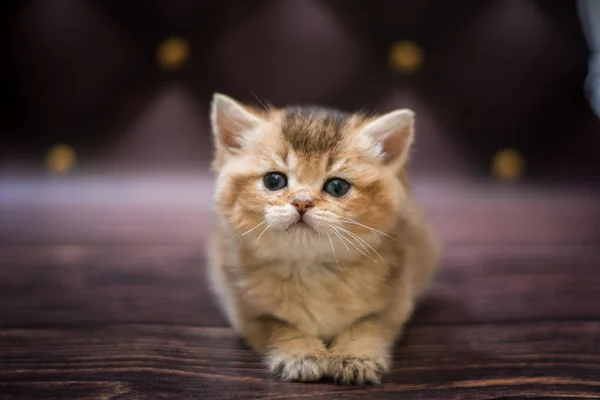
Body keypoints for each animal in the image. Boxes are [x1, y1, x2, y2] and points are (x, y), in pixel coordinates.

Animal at [207, 93, 440, 384]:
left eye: (337, 187)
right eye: (274, 181)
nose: (302, 202)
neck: (312, 269)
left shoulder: (394, 303)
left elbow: (368, 325)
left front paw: (355, 356)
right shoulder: (247, 310)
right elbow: (280, 326)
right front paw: (301, 353)